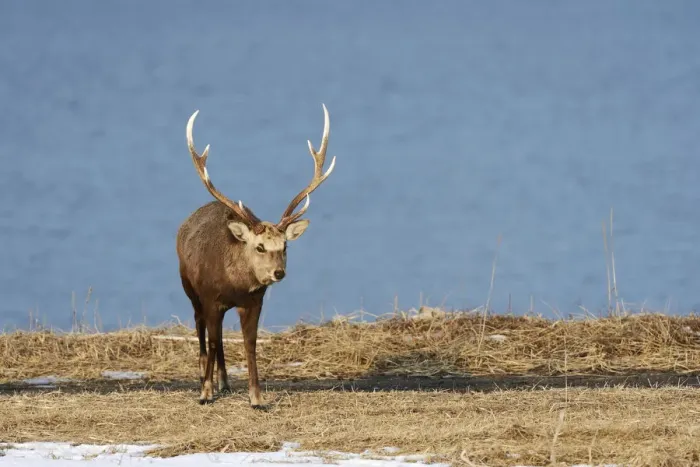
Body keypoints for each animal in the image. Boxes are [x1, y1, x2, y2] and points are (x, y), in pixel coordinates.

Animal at [176, 104, 336, 408]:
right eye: (260, 246)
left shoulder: (254, 302)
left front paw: (257, 398)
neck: (234, 284)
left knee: (219, 338)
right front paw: (205, 393)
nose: (278, 273)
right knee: (202, 329)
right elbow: (211, 341)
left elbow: (250, 344)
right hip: (189, 288)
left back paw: (224, 382)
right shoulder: (210, 297)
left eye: (285, 247)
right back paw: (206, 380)